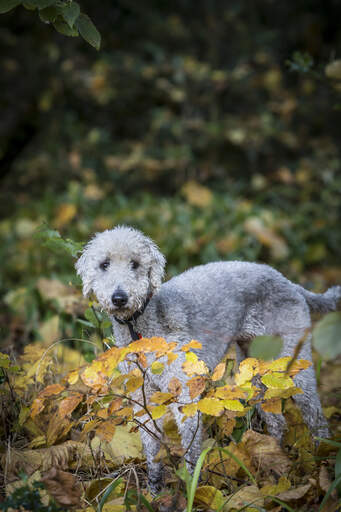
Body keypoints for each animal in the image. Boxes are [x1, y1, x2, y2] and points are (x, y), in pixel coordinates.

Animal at [75, 226, 338, 494]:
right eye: (104, 264)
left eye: (135, 263)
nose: (119, 298)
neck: (141, 326)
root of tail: (288, 282)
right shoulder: (142, 395)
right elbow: (151, 447)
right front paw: (154, 492)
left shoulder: (184, 393)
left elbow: (191, 450)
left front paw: (193, 490)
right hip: (254, 367)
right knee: (276, 421)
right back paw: (272, 465)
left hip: (294, 359)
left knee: (315, 416)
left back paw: (321, 460)